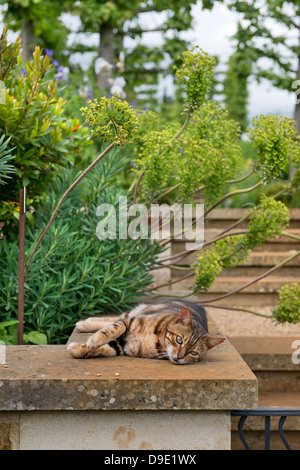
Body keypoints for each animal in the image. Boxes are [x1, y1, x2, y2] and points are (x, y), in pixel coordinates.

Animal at [67, 300, 224, 366]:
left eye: (193, 353)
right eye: (179, 340)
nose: (180, 356)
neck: (157, 341)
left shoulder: (123, 346)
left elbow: (104, 349)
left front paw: (78, 349)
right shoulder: (130, 322)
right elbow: (112, 328)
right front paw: (94, 340)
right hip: (135, 312)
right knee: (114, 318)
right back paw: (84, 324)